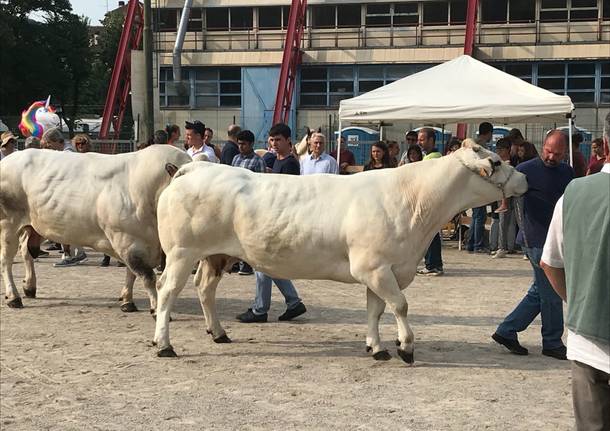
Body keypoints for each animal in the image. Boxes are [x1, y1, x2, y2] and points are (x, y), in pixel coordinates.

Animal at [0, 146, 190, 314]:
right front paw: (156, 308)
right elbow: (147, 276)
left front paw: (127, 301)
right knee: (6, 260)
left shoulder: (135, 242)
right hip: (8, 223)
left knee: (26, 252)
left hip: (36, 225)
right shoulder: (127, 240)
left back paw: (29, 287)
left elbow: (132, 273)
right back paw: (13, 297)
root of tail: (9, 159)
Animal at [152, 140, 528, 362]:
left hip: (215, 254)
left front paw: (376, 347)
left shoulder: (384, 269)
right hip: (181, 252)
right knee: (167, 291)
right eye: (496, 161)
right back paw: (164, 344)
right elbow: (401, 306)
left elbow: (376, 310)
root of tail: (194, 167)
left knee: (204, 288)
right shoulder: (374, 268)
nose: (524, 179)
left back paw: (218, 333)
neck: (414, 204)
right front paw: (406, 347)